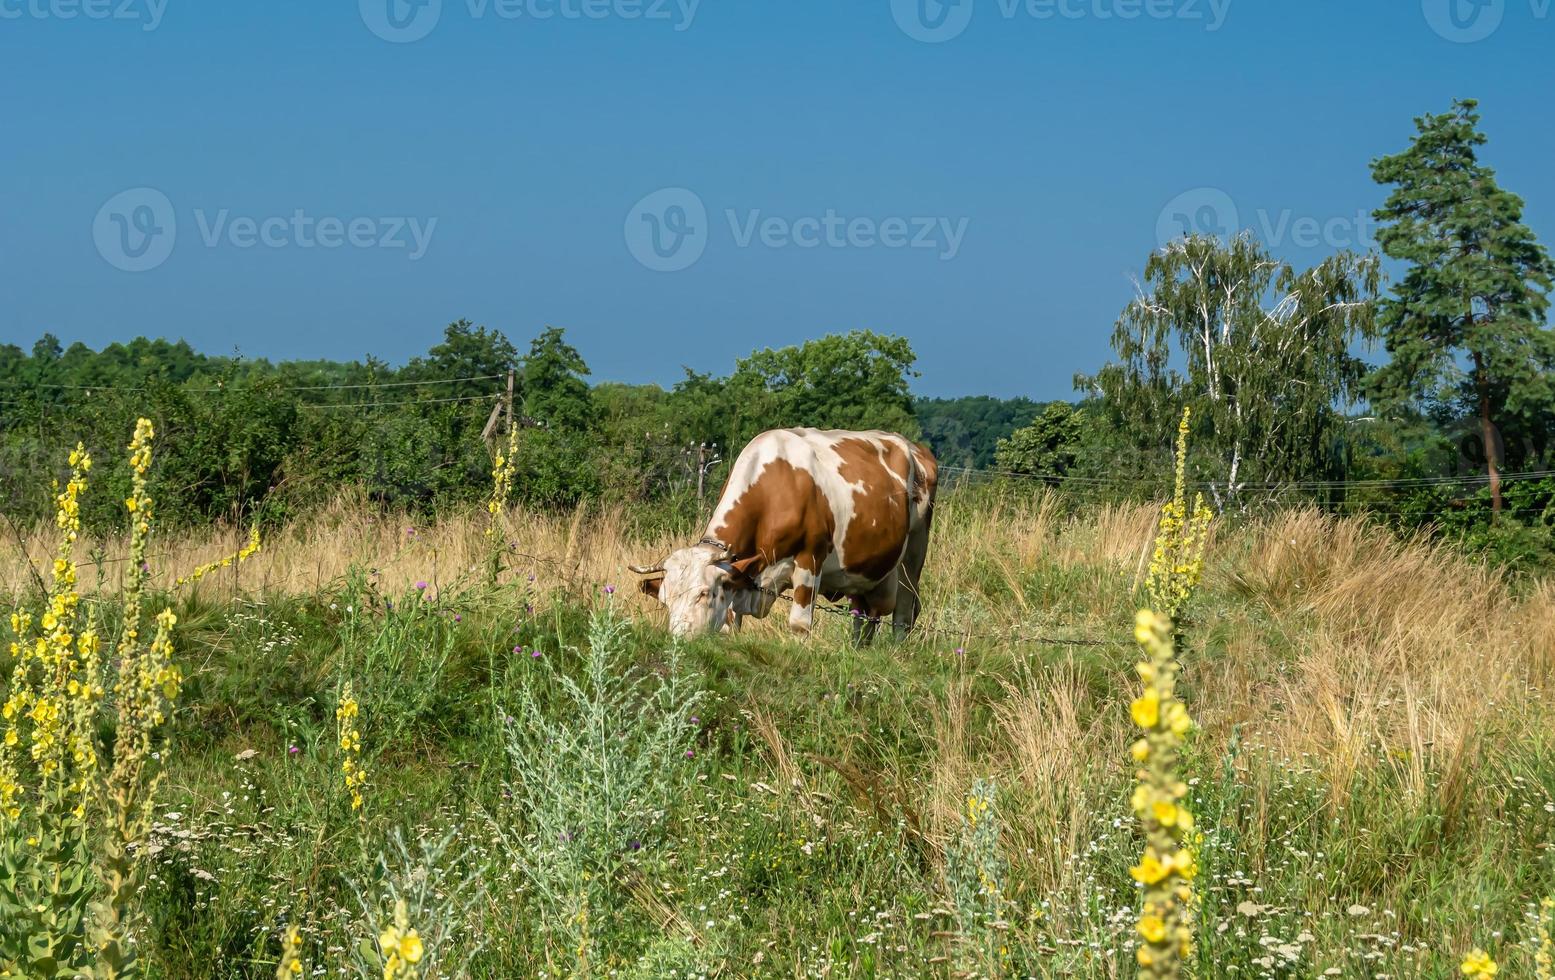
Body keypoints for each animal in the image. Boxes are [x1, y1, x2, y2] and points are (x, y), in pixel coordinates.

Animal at [631, 423, 932, 640]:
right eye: (665, 600)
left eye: (704, 593)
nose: (678, 640)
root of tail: (914, 447)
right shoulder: (740, 579)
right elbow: (731, 625)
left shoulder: (811, 559)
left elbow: (799, 625)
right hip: (863, 569)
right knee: (864, 615)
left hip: (913, 555)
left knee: (903, 615)